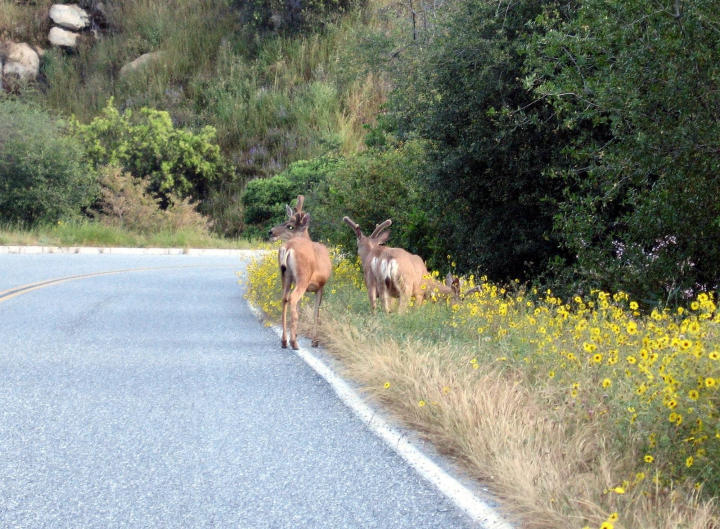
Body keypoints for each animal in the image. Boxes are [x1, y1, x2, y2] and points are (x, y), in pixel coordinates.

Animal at [268, 196, 330, 348]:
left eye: (290, 225)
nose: (270, 232)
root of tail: (288, 247)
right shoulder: (321, 285)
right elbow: (316, 312)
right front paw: (314, 341)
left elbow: (300, 309)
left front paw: (296, 334)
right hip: (303, 277)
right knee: (292, 298)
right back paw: (294, 343)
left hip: (286, 276)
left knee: (285, 299)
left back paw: (284, 340)